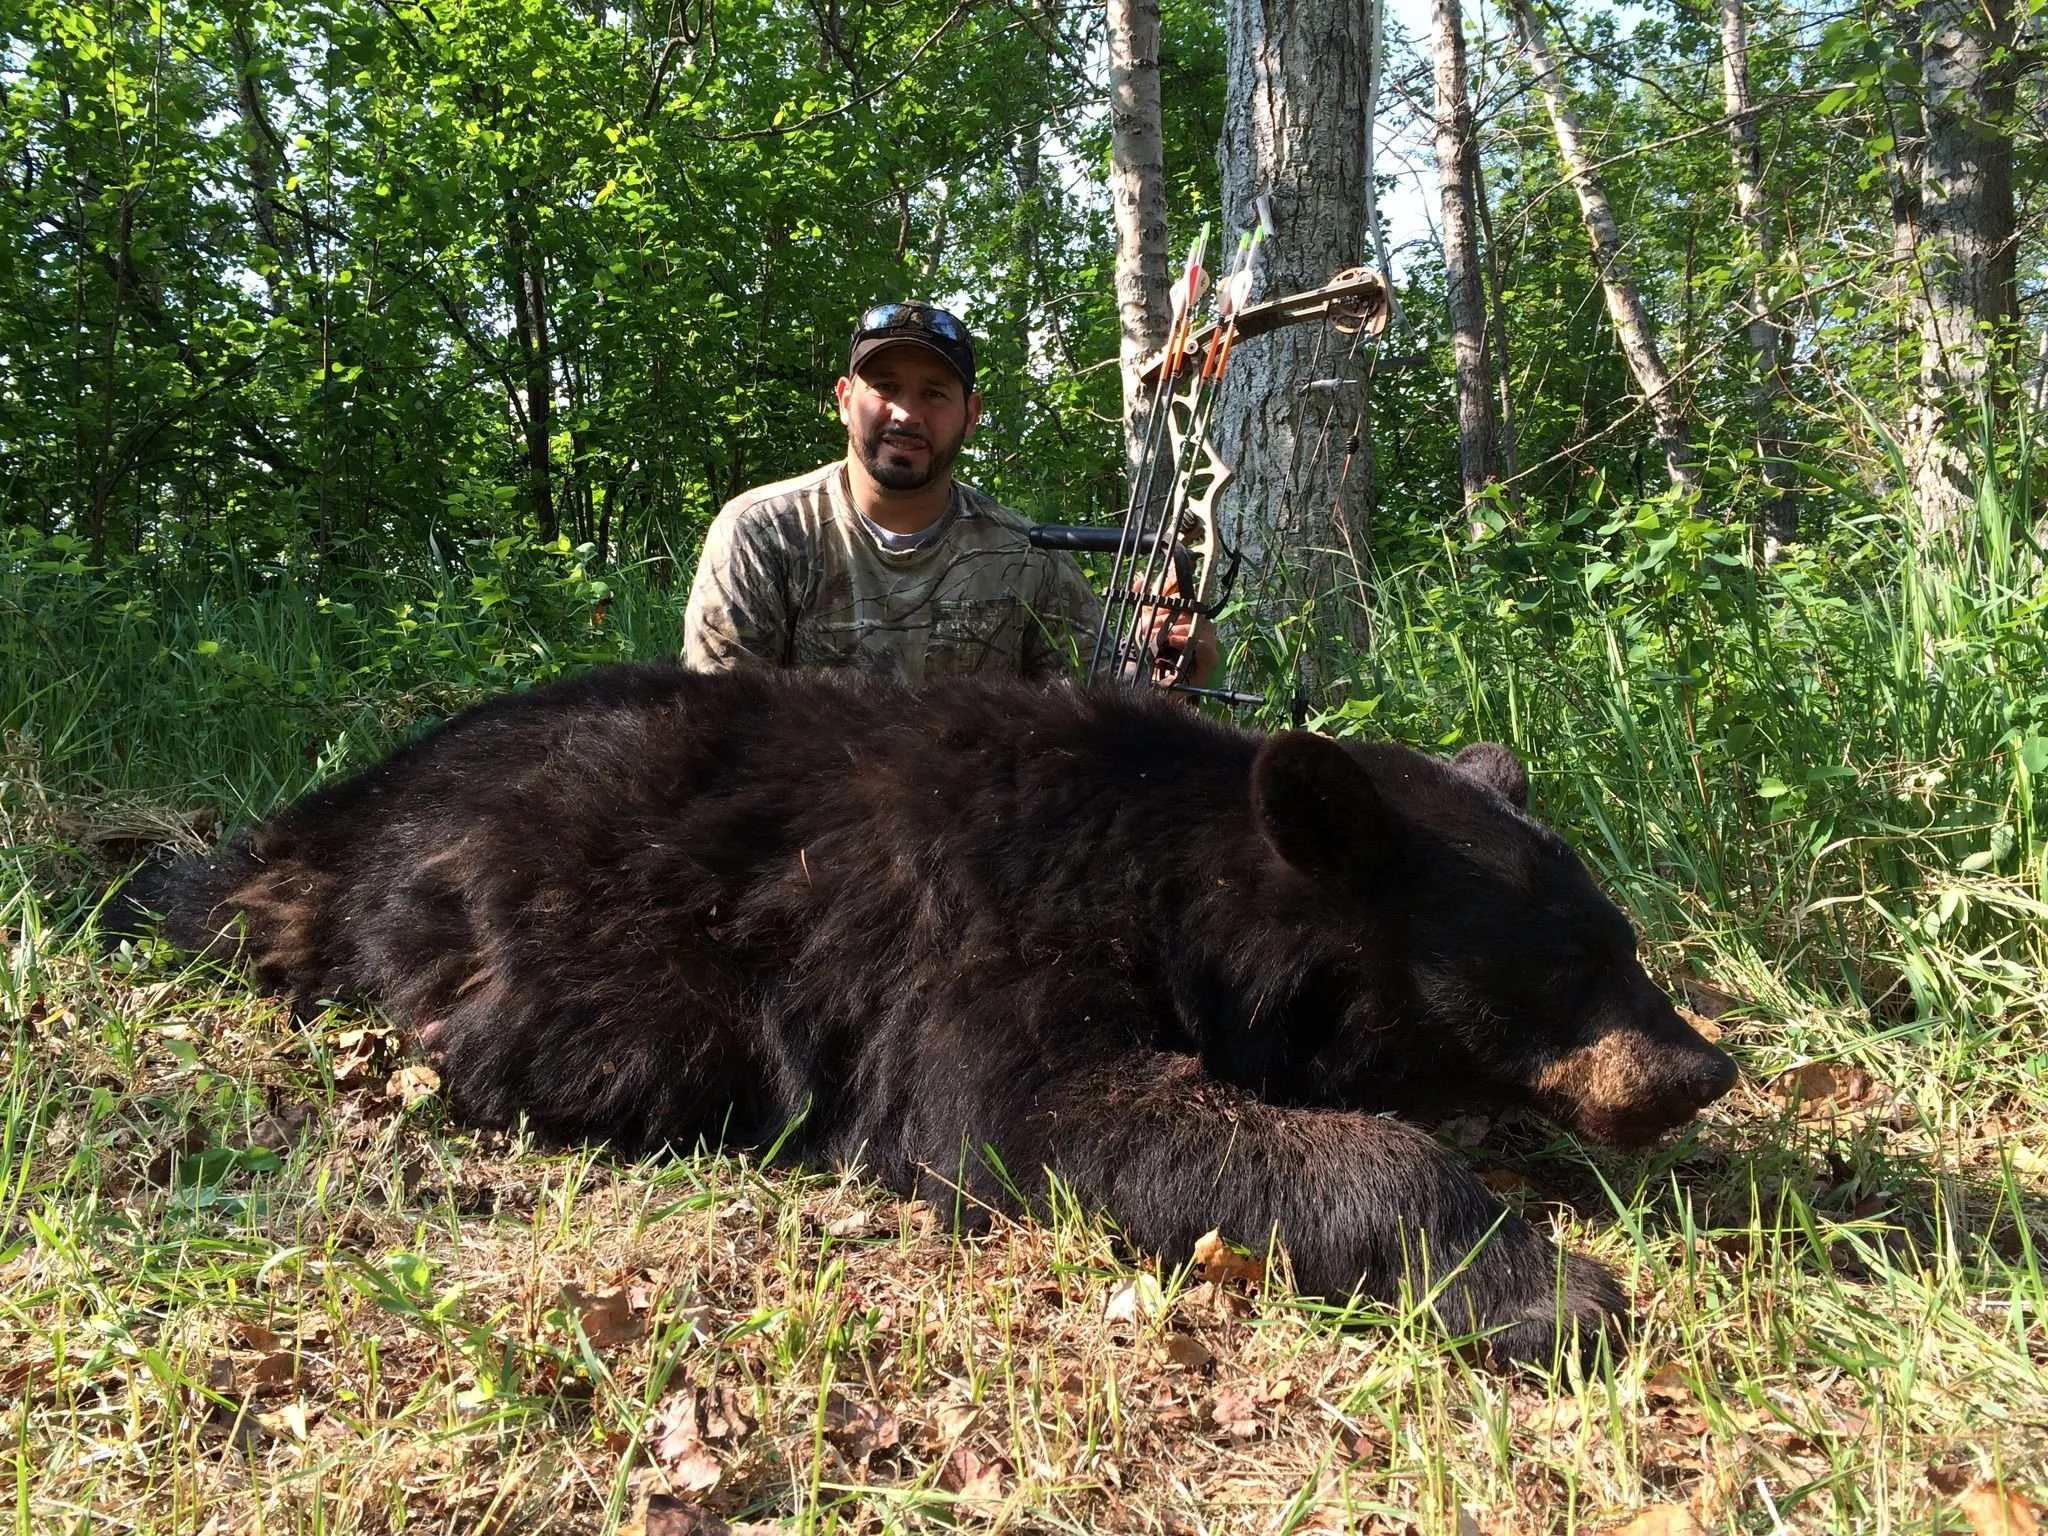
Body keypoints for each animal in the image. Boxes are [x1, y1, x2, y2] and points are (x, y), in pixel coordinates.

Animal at [138, 662, 1737, 1368]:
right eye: (1567, 956)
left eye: (1624, 939)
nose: (1702, 1070)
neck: (1171, 875)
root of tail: (331, 807)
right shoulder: (980, 936)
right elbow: (1033, 1112)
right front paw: (1546, 1284)